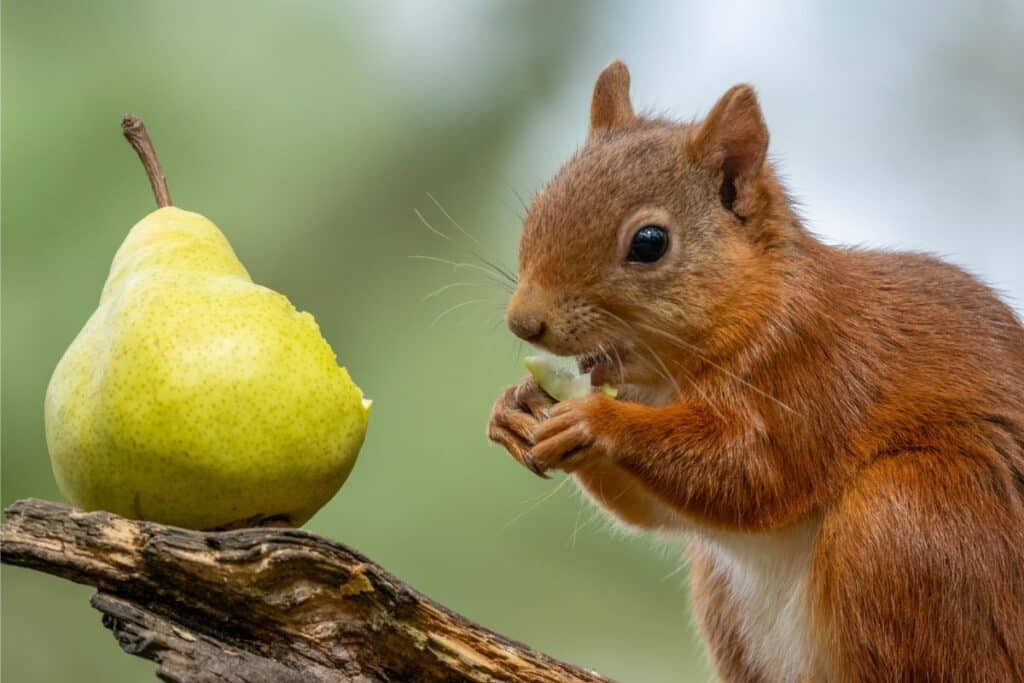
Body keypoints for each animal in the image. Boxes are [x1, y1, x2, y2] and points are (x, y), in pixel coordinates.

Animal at [487, 60, 1024, 683]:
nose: (524, 322)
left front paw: (596, 421)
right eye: (538, 207)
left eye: (649, 243)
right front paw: (513, 406)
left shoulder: (815, 372)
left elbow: (756, 471)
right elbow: (652, 509)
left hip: (908, 526)